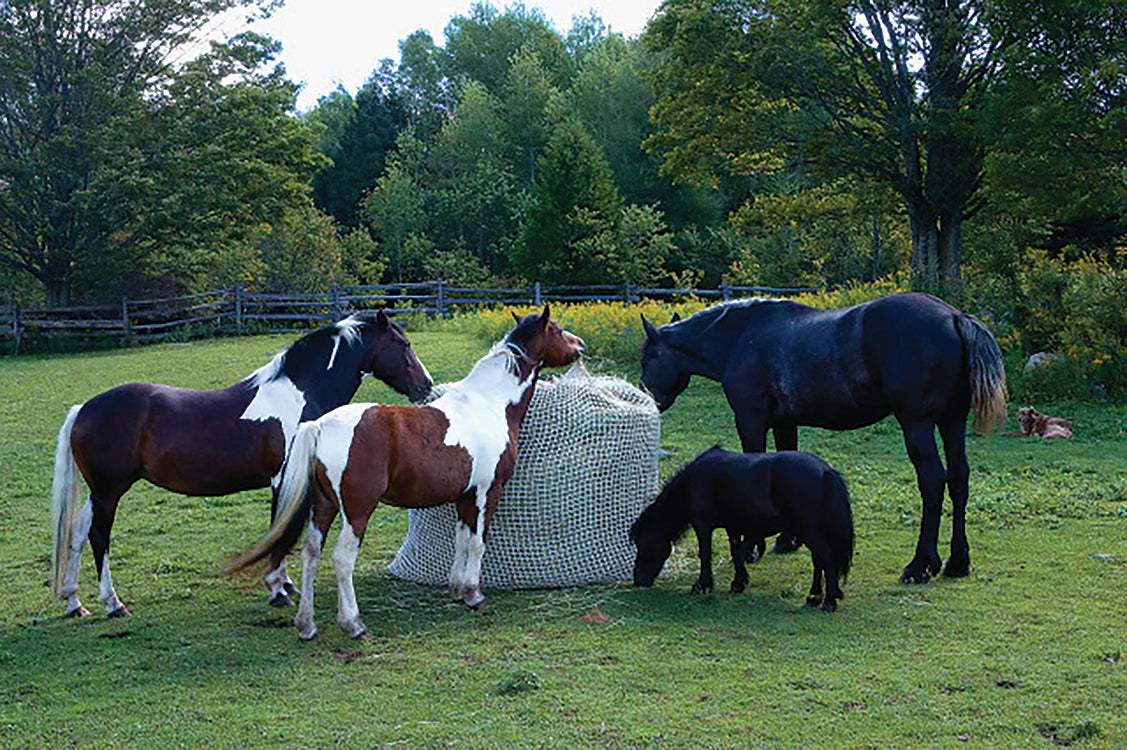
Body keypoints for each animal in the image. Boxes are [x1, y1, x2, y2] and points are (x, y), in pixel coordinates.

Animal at [47, 306, 430, 618]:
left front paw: (284, 585)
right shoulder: (282, 479)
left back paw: (73, 601)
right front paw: (277, 590)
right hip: (109, 492)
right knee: (98, 536)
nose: (425, 387)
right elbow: (280, 531)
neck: (300, 394)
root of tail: (83, 409)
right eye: (404, 345)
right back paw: (113, 603)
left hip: (101, 492)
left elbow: (282, 530)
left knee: (77, 533)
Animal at [225, 306, 586, 640]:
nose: (580, 345)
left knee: (311, 555)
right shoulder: (487, 490)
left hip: (323, 507)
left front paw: (457, 589)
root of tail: (319, 425)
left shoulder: (465, 495)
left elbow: (461, 538)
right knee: (342, 559)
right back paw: (354, 624)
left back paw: (306, 625)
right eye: (556, 330)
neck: (489, 402)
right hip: (358, 511)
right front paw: (474, 594)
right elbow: (478, 542)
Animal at [626, 444, 852, 609]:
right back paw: (814, 597)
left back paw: (829, 601)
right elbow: (736, 552)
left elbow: (705, 553)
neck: (693, 481)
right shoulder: (733, 527)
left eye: (644, 544)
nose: (639, 580)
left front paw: (702, 585)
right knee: (819, 560)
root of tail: (826, 471)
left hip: (808, 529)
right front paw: (738, 583)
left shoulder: (703, 524)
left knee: (825, 558)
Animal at [640, 293, 1009, 586]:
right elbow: (782, 461)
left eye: (649, 358)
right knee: (959, 480)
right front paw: (787, 540)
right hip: (951, 422)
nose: (648, 397)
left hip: (917, 426)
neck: (741, 337)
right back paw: (957, 562)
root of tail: (954, 316)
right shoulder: (785, 423)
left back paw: (920, 565)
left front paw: (751, 548)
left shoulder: (751, 420)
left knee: (933, 482)